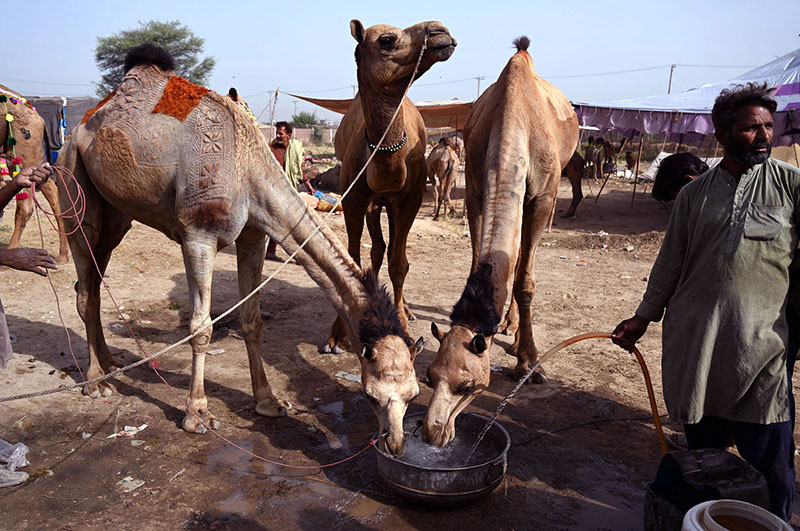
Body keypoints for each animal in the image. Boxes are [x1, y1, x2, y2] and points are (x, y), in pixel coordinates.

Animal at [58, 44, 425, 456]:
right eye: (371, 395)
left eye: (413, 393)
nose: (395, 443)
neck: (247, 164)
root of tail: (81, 127)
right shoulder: (198, 234)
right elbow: (200, 327)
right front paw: (197, 415)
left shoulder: (255, 234)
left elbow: (252, 320)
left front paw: (268, 402)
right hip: (72, 181)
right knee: (85, 287)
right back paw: (95, 381)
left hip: (116, 216)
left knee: (93, 279)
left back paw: (108, 363)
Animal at [323, 20, 457, 353]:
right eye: (386, 40)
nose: (440, 30)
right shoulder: (354, 198)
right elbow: (351, 261)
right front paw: (337, 335)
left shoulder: (410, 198)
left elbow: (399, 264)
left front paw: (405, 330)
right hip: (374, 203)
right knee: (377, 250)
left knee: (393, 251)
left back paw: (406, 308)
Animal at [423, 37, 578, 446]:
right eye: (429, 376)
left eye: (467, 384)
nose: (433, 432)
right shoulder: (476, 187)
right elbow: (479, 256)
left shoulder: (543, 196)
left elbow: (524, 281)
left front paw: (529, 364)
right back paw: (509, 325)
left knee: (525, 261)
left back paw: (518, 333)